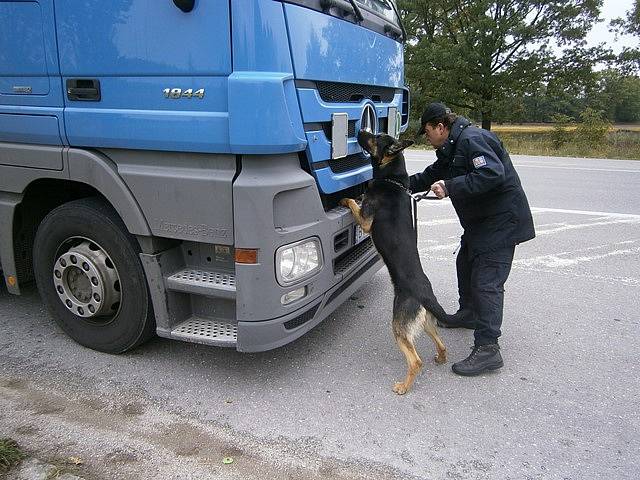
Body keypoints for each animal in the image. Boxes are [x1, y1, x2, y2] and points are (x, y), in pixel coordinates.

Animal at [342, 130, 448, 394]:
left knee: (415, 360)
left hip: (399, 326)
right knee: (441, 344)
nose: (359, 130)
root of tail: (426, 295)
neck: (393, 180)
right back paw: (441, 358)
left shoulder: (365, 220)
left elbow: (353, 203)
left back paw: (403, 386)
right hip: (425, 323)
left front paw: (345, 199)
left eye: (375, 137)